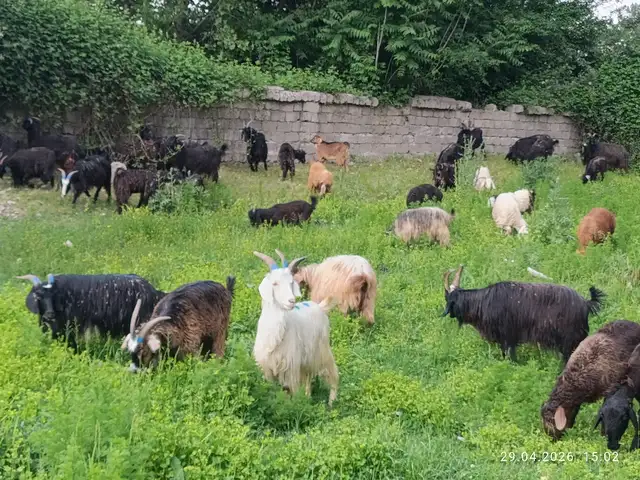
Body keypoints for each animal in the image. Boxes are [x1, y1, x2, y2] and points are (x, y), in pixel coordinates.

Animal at [253, 250, 339, 406]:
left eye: (291, 282)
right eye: (275, 283)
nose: (291, 301)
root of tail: (320, 307)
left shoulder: (290, 367)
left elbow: (290, 392)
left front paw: (293, 407)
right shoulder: (267, 368)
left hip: (321, 349)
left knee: (332, 372)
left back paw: (331, 402)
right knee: (308, 376)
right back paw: (308, 396)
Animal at [443, 265, 604, 362]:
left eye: (448, 299)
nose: (449, 314)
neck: (483, 302)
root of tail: (586, 303)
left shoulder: (507, 338)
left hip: (569, 341)